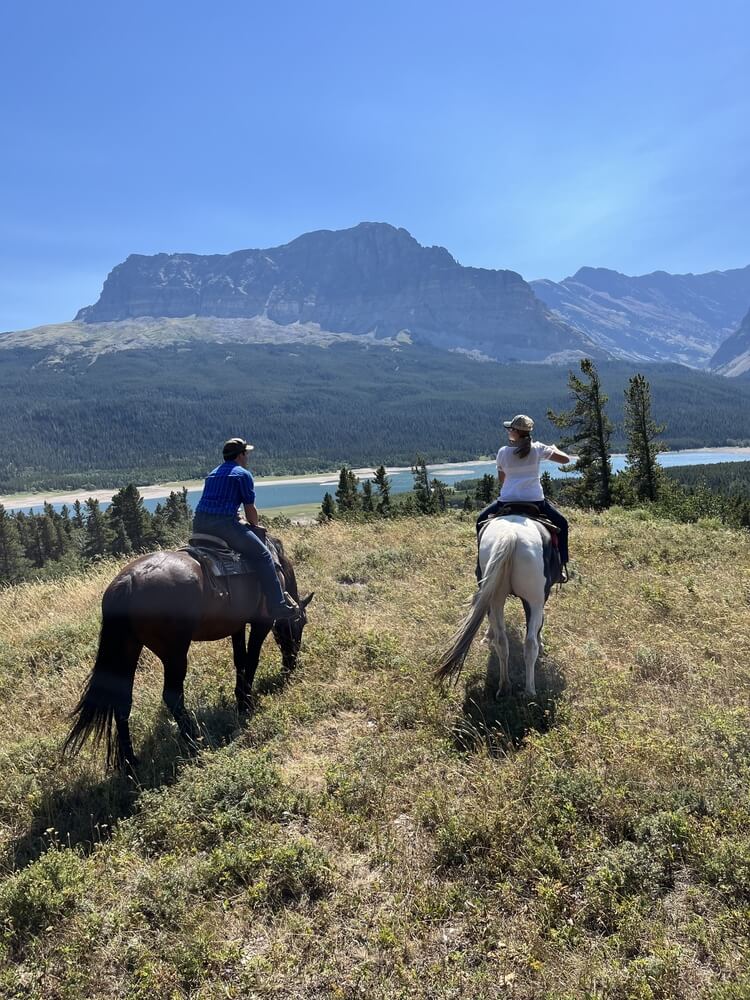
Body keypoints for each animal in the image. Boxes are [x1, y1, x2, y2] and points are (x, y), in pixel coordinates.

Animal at [63, 540, 312, 764]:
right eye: (301, 623)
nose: (290, 666)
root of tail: (128, 582)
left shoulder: (237, 625)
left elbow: (240, 660)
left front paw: (241, 697)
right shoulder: (262, 621)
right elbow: (251, 659)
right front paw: (246, 704)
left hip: (129, 649)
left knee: (122, 702)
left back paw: (130, 762)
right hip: (174, 652)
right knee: (172, 696)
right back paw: (195, 742)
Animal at [434, 516, 552, 696]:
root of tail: (511, 535)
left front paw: (487, 635)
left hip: (496, 597)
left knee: (502, 641)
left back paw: (504, 686)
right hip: (534, 601)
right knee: (530, 644)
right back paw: (529, 691)